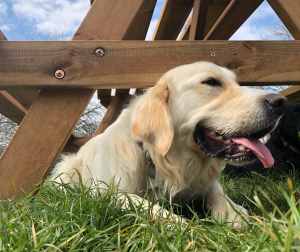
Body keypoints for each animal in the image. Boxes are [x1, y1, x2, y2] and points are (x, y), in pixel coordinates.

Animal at [52, 61, 286, 228]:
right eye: (211, 82)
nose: (280, 102)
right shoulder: (104, 192)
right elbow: (146, 205)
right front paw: (186, 226)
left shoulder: (203, 180)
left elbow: (217, 190)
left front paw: (233, 212)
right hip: (65, 169)